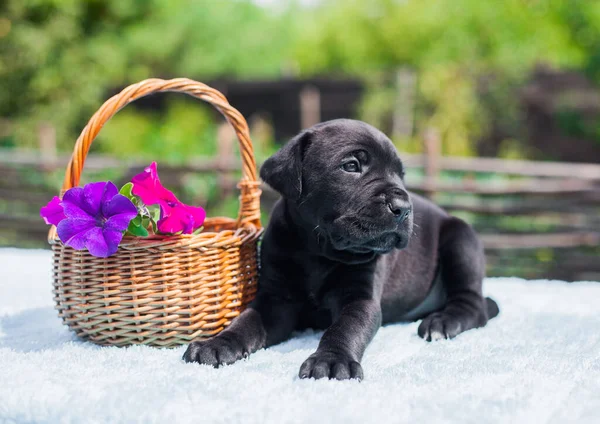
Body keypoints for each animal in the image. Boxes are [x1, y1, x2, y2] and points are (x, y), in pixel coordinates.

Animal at [182, 119, 496, 380]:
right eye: (352, 166)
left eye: (401, 175)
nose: (404, 207)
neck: (318, 251)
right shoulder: (276, 299)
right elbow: (248, 320)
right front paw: (217, 343)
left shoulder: (360, 298)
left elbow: (344, 329)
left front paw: (332, 361)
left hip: (461, 239)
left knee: (474, 305)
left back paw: (442, 323)